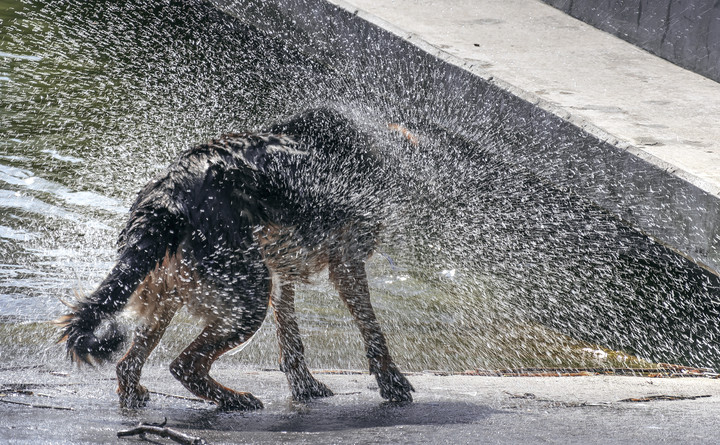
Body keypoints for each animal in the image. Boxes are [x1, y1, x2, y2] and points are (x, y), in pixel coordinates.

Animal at [58, 108, 414, 410]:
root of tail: (169, 193)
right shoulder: (346, 260)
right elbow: (371, 327)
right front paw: (391, 382)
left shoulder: (282, 266)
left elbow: (290, 333)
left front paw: (303, 384)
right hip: (248, 294)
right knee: (185, 365)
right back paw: (234, 399)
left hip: (171, 286)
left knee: (128, 364)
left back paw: (137, 395)